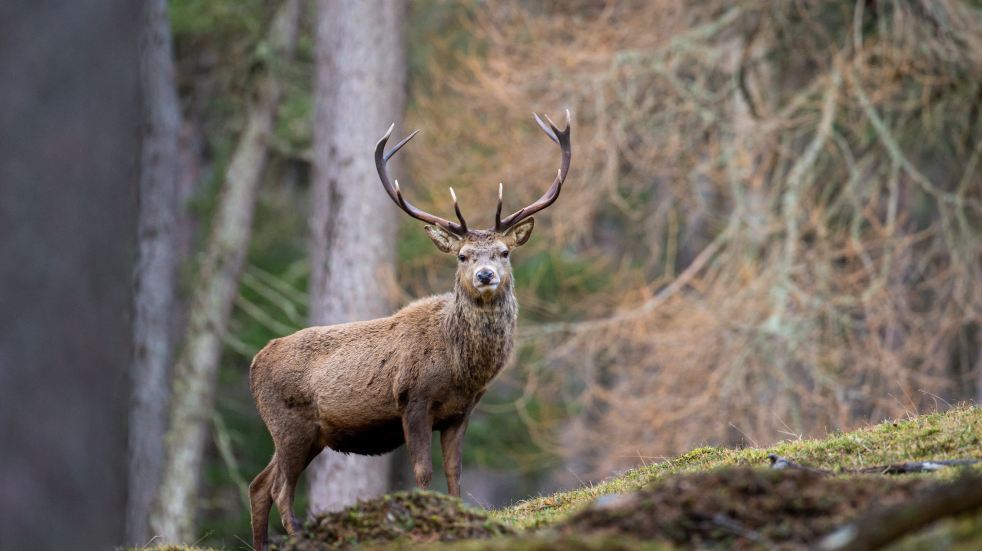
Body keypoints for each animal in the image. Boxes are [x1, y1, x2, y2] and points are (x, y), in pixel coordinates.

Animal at [246, 110, 572, 548]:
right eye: (463, 256)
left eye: (504, 252)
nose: (486, 275)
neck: (460, 367)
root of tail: (255, 362)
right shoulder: (413, 399)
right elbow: (423, 471)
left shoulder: (460, 412)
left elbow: (454, 471)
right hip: (288, 423)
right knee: (280, 487)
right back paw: (299, 536)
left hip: (306, 434)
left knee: (259, 485)